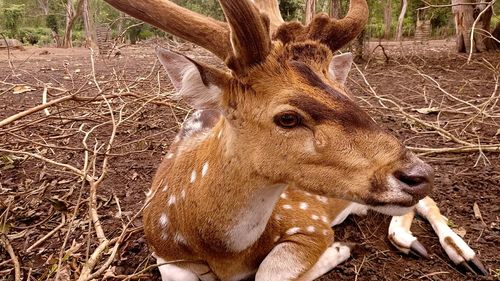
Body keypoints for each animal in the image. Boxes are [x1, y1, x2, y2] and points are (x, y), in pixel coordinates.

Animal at [105, 0, 488, 278]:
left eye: (346, 93)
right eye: (287, 117)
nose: (419, 175)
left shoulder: (309, 221)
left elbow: (270, 273)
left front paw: (339, 250)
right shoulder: (162, 250)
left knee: (426, 203)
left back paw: (463, 255)